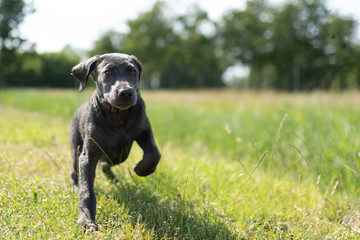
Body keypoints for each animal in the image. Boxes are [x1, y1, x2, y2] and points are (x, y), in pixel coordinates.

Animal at [69, 53, 161, 230]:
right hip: (76, 148)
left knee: (107, 164)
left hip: (119, 155)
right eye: (108, 72)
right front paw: (86, 221)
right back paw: (76, 186)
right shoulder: (88, 155)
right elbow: (87, 190)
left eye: (133, 71)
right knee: (75, 171)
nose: (126, 92)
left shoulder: (144, 130)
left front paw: (141, 169)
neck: (117, 115)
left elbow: (154, 153)